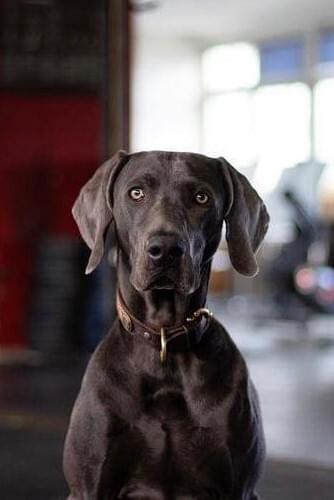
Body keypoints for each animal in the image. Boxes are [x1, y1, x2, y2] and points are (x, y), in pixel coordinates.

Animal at [64, 151, 270, 500]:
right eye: (136, 193)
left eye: (201, 197)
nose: (165, 250)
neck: (163, 341)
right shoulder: (89, 487)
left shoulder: (238, 487)